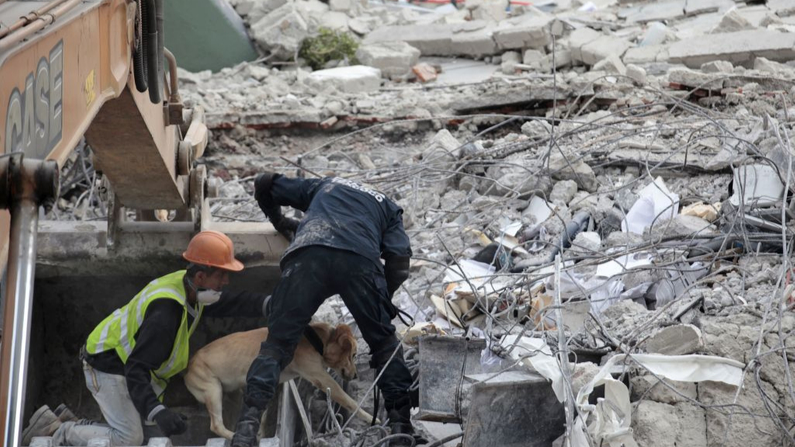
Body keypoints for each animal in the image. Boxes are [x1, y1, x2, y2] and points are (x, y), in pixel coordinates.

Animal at [186, 324, 374, 440]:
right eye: (353, 355)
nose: (355, 375)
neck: (317, 340)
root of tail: (189, 365)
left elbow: (262, 415)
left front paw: (260, 432)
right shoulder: (321, 377)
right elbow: (349, 401)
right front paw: (371, 418)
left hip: (233, 393)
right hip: (213, 390)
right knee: (216, 425)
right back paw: (234, 436)